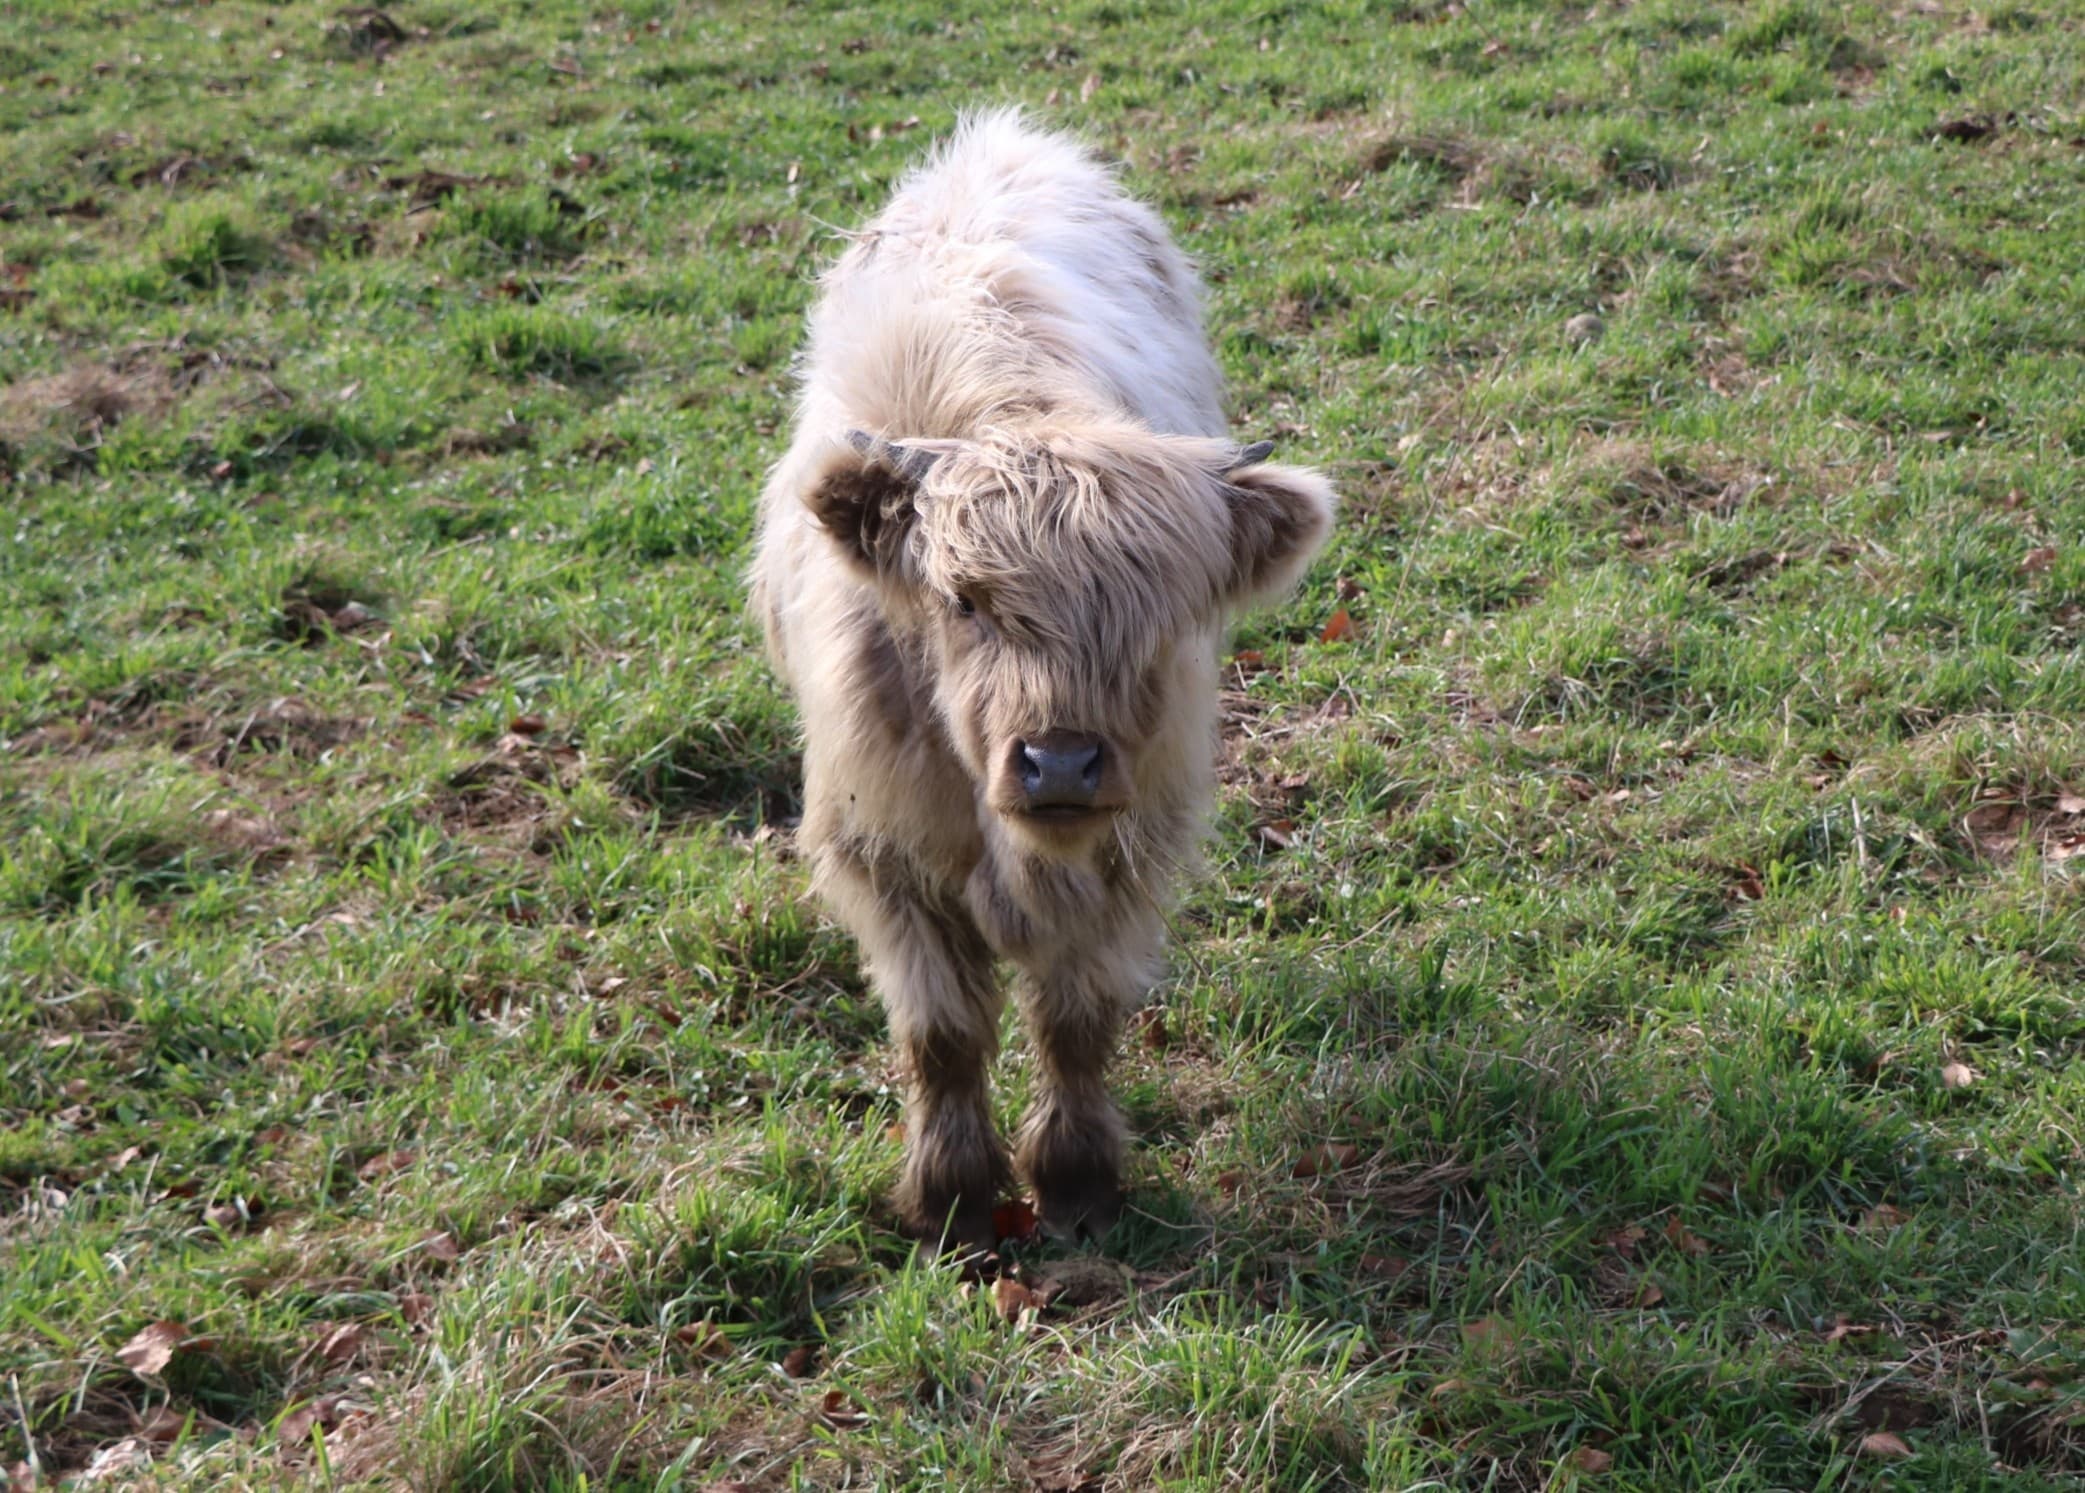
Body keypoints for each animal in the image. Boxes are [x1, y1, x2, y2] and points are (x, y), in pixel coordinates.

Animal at [749, 109, 1335, 1253]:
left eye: (1162, 606)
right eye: (965, 600)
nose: (1058, 764)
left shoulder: (1129, 840)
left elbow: (1075, 1018)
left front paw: (1074, 1180)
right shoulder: (880, 849)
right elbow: (942, 1031)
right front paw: (953, 1194)